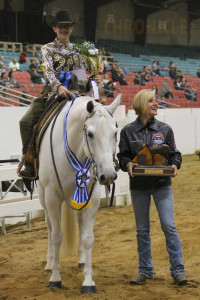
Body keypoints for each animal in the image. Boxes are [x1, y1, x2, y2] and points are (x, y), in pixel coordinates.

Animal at [38, 94, 121, 292]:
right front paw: (55, 277)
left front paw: (88, 280)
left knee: (80, 224)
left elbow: (88, 237)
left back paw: (82, 260)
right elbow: (57, 236)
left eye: (115, 133)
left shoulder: (93, 195)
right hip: (43, 195)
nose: (108, 175)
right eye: (90, 134)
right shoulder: (52, 197)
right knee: (50, 227)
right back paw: (49, 264)